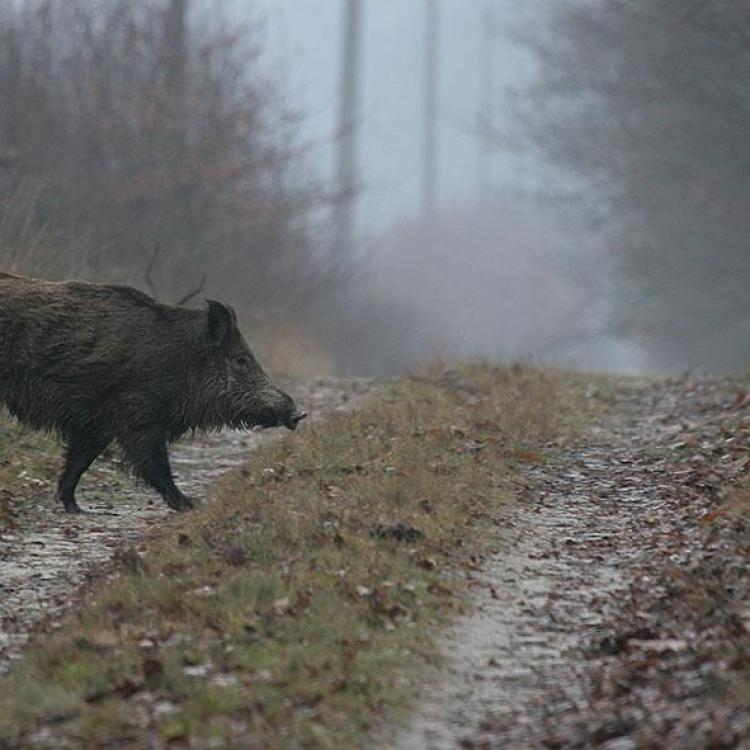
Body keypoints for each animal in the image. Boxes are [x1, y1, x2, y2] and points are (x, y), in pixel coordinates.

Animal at [0, 272, 306, 513]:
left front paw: (74, 507)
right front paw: (191, 504)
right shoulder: (139, 418)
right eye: (241, 360)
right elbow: (155, 464)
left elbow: (80, 459)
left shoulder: (98, 424)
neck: (183, 362)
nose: (298, 413)